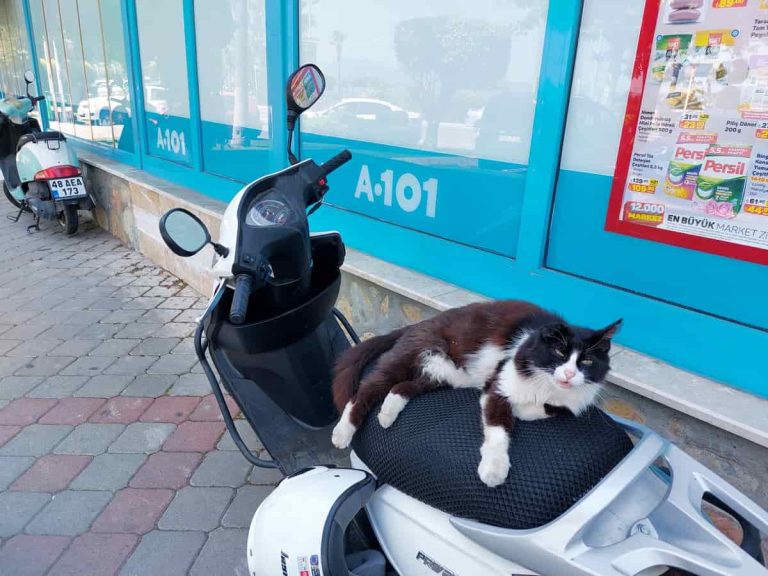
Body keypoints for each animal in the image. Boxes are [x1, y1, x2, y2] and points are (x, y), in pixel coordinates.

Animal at [328, 302, 616, 486]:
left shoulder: (575, 400)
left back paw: (387, 414)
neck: (546, 384)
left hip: (444, 373)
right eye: (559, 352)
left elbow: (552, 408)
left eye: (587, 361)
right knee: (368, 388)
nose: (568, 374)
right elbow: (499, 429)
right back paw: (343, 432)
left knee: (402, 387)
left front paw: (524, 409)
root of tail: (420, 323)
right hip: (410, 356)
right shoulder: (498, 384)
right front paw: (494, 470)